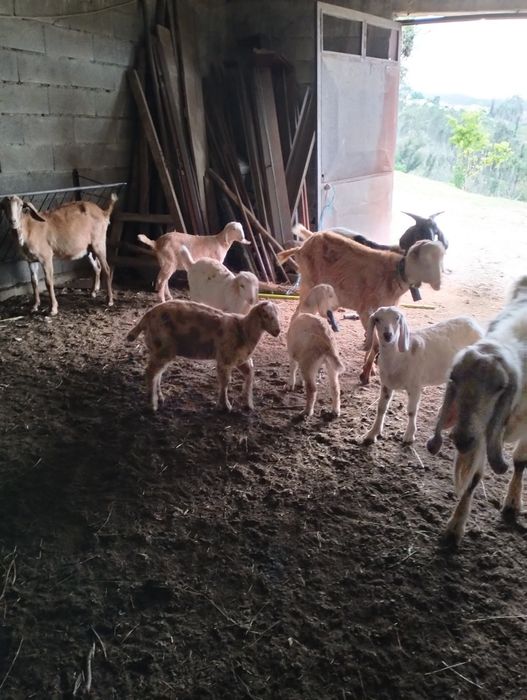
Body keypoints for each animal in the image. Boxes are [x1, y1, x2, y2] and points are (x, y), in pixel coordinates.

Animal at [126, 300, 280, 412]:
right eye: (266, 316)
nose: (278, 331)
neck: (243, 330)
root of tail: (147, 316)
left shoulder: (241, 359)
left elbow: (250, 376)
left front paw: (248, 404)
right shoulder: (225, 359)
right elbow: (225, 382)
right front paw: (225, 406)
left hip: (158, 348)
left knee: (157, 373)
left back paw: (159, 397)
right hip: (163, 346)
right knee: (151, 372)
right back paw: (152, 404)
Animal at [277, 226, 445, 384]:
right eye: (426, 260)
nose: (439, 284)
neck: (394, 275)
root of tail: (301, 247)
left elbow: (372, 341)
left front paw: (369, 370)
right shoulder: (365, 311)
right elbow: (373, 345)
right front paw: (365, 375)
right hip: (307, 283)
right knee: (297, 314)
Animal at [287, 284, 344, 418]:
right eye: (331, 295)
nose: (337, 307)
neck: (305, 310)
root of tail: (327, 341)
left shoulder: (292, 352)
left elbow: (293, 368)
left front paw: (291, 385)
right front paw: (300, 382)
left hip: (309, 362)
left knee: (312, 389)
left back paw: (307, 412)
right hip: (331, 365)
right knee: (335, 388)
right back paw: (335, 411)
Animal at [362, 306, 483, 445]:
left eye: (397, 318)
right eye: (377, 319)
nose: (388, 335)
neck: (399, 357)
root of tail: (474, 324)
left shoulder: (415, 386)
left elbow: (411, 411)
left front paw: (409, 436)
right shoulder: (386, 385)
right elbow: (381, 408)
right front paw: (372, 434)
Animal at [426, 276, 527, 545]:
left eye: (500, 386)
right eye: (454, 378)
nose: (461, 439)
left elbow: (520, 461)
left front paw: (513, 503)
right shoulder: (482, 432)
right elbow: (473, 479)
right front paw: (455, 528)